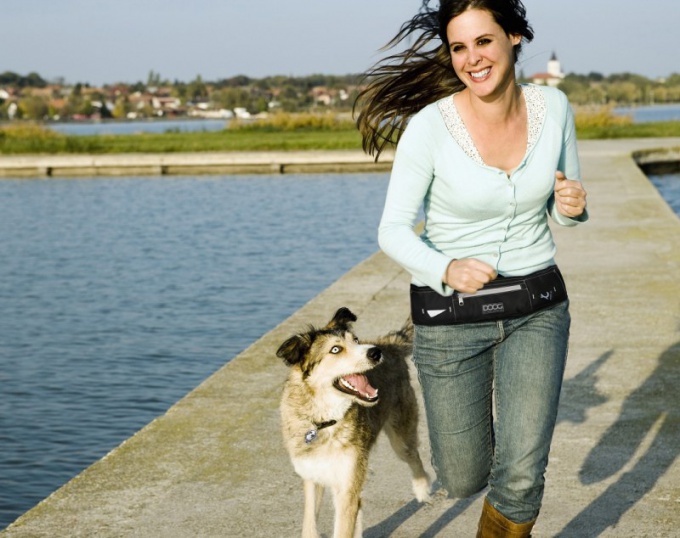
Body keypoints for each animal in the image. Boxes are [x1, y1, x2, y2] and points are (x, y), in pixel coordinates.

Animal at [276, 306, 430, 536]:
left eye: (356, 340)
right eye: (335, 349)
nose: (375, 352)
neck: (324, 422)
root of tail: (389, 343)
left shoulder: (346, 490)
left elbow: (342, 528)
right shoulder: (313, 478)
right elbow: (309, 526)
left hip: (401, 440)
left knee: (414, 457)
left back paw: (422, 489)